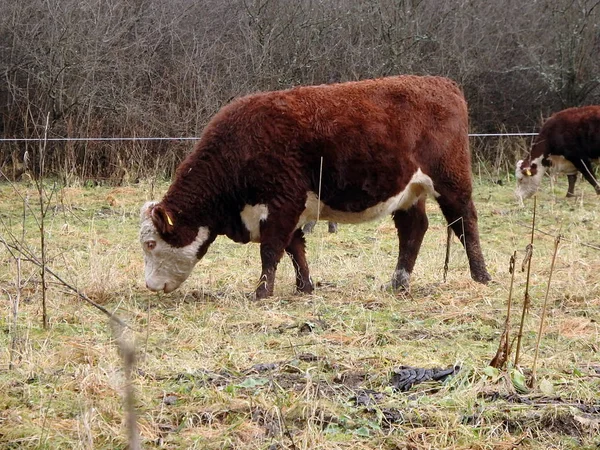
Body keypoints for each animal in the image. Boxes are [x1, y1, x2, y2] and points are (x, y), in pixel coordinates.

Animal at [141, 76, 492, 300]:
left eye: (151, 244)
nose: (150, 286)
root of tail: (443, 83)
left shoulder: (282, 202)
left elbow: (271, 249)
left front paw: (262, 292)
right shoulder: (291, 207)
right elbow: (295, 248)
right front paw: (304, 286)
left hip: (451, 180)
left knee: (465, 222)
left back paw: (481, 277)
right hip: (408, 192)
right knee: (413, 229)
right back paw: (398, 283)